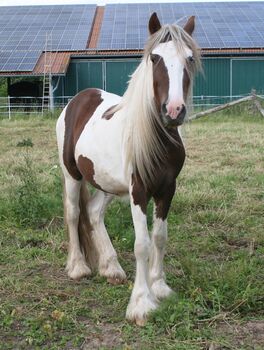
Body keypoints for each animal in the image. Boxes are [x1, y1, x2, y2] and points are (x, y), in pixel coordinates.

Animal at [55, 13, 200, 326]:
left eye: (190, 58)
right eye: (155, 58)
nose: (173, 111)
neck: (156, 139)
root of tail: (79, 99)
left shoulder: (167, 189)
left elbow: (159, 237)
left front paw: (160, 287)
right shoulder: (139, 190)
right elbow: (142, 243)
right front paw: (141, 304)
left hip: (108, 183)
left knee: (94, 213)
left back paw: (111, 268)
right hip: (72, 174)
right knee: (73, 213)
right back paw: (78, 268)